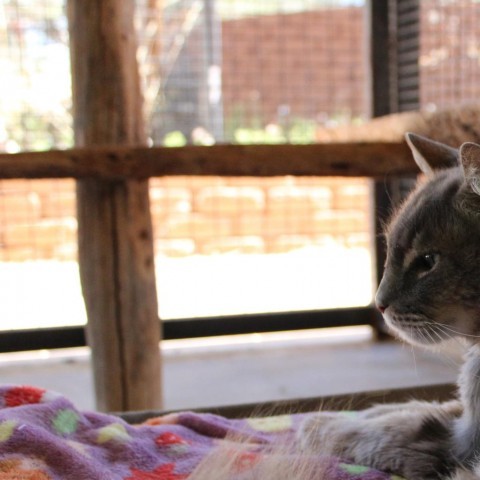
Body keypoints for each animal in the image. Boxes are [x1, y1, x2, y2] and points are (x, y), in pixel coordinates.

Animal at [189, 134, 480, 480]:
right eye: (389, 249)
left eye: (427, 261)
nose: (379, 304)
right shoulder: (454, 416)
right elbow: (408, 406)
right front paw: (356, 413)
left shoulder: (454, 446)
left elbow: (376, 432)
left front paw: (320, 423)